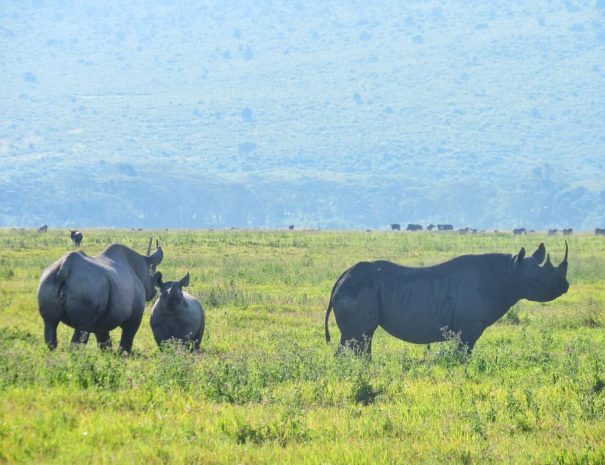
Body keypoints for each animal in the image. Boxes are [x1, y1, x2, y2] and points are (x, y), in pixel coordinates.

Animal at [326, 241, 568, 354]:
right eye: (538, 281)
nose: (564, 286)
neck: (510, 273)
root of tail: (341, 278)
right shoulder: (469, 325)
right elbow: (464, 353)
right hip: (357, 288)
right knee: (357, 337)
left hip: (358, 288)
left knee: (362, 339)